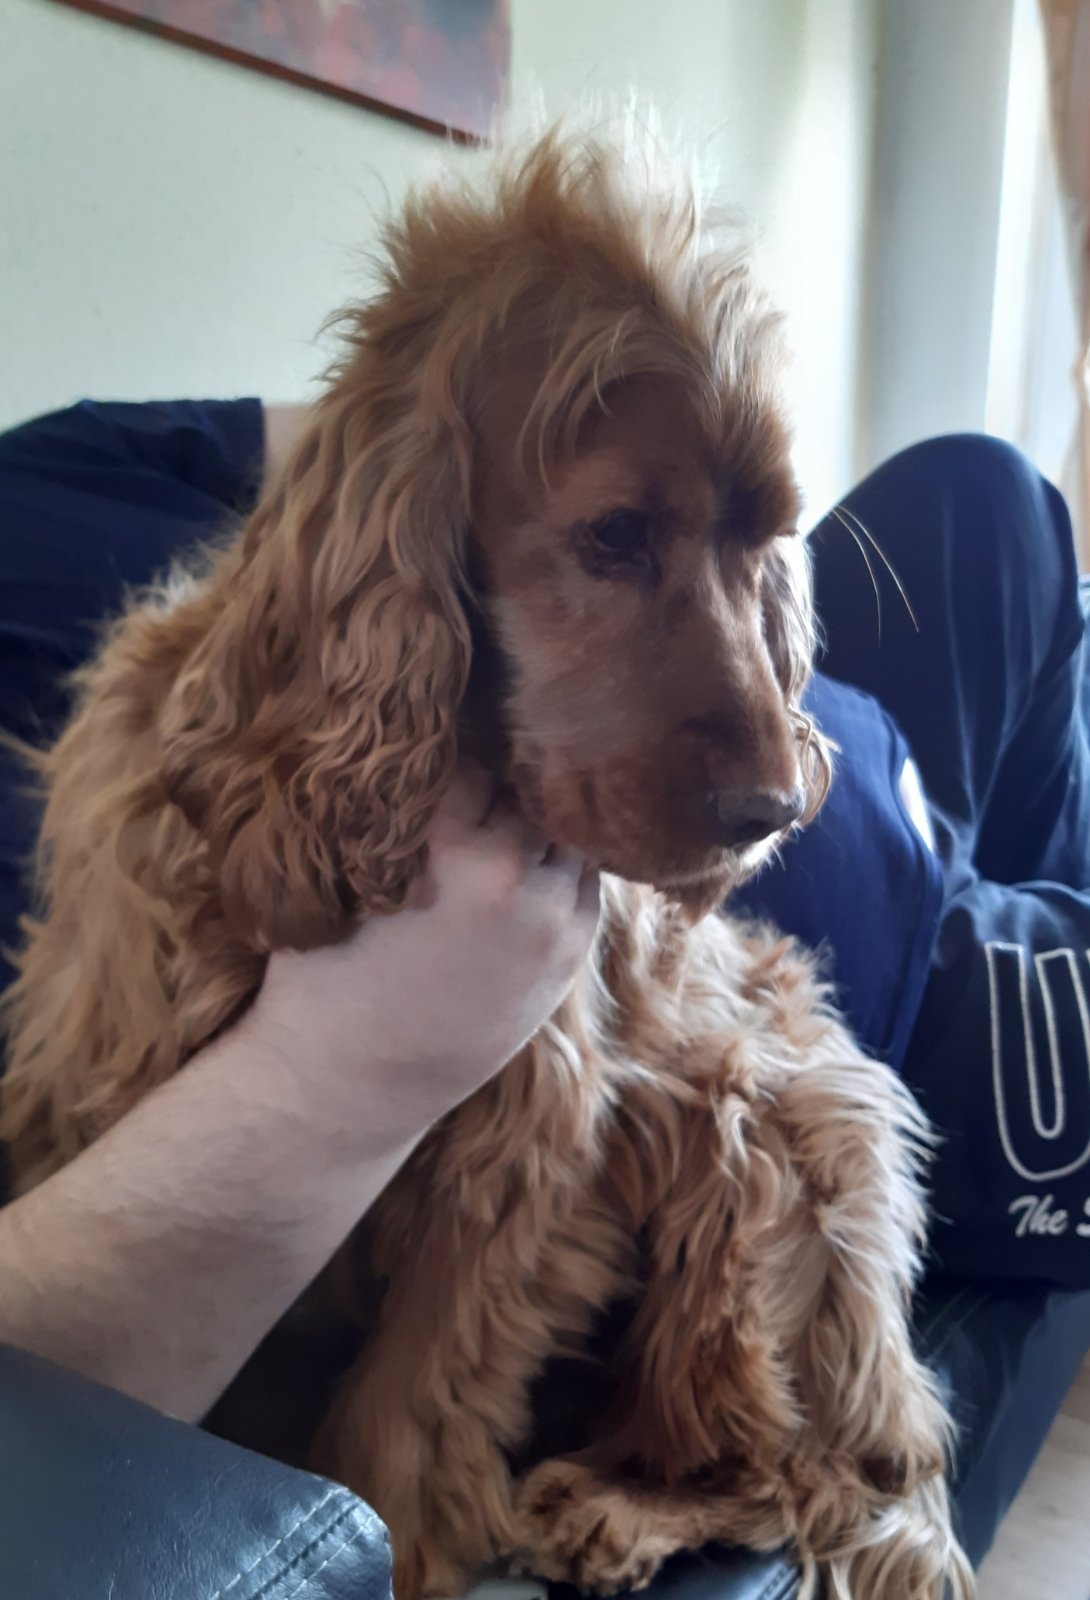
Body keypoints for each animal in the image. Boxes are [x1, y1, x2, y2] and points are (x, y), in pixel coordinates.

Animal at [0, 120, 974, 1600]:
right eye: (615, 536)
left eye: (765, 547)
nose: (775, 805)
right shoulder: (109, 1041)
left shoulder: (522, 1156)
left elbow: (403, 1435)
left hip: (771, 1129)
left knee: (789, 1472)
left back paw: (618, 1508)